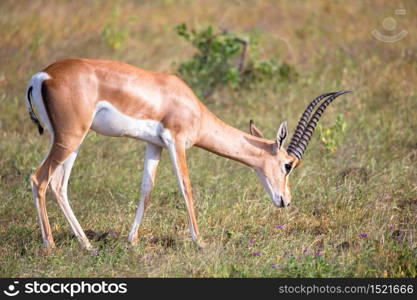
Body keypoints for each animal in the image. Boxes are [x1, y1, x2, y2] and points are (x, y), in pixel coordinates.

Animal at [26, 58, 350, 251]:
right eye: (288, 165)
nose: (285, 201)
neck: (186, 102)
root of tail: (43, 75)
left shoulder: (154, 145)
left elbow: (147, 189)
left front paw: (132, 240)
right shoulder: (176, 140)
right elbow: (186, 187)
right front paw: (201, 241)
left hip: (70, 140)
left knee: (58, 184)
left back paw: (87, 245)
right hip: (70, 137)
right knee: (39, 178)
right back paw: (50, 247)